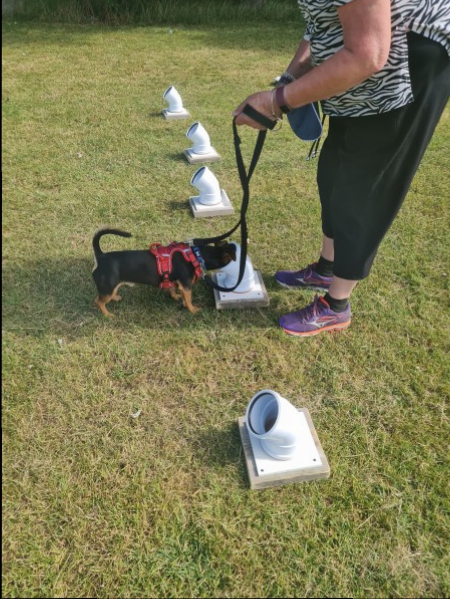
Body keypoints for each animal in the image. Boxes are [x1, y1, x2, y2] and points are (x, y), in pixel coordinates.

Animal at [93, 227, 237, 316]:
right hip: (107, 287)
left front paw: (176, 297)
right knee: (98, 302)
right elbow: (189, 300)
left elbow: (173, 290)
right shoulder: (186, 286)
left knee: (106, 296)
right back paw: (107, 315)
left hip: (110, 287)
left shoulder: (174, 281)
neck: (196, 255)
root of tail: (101, 256)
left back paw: (115, 297)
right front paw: (192, 310)